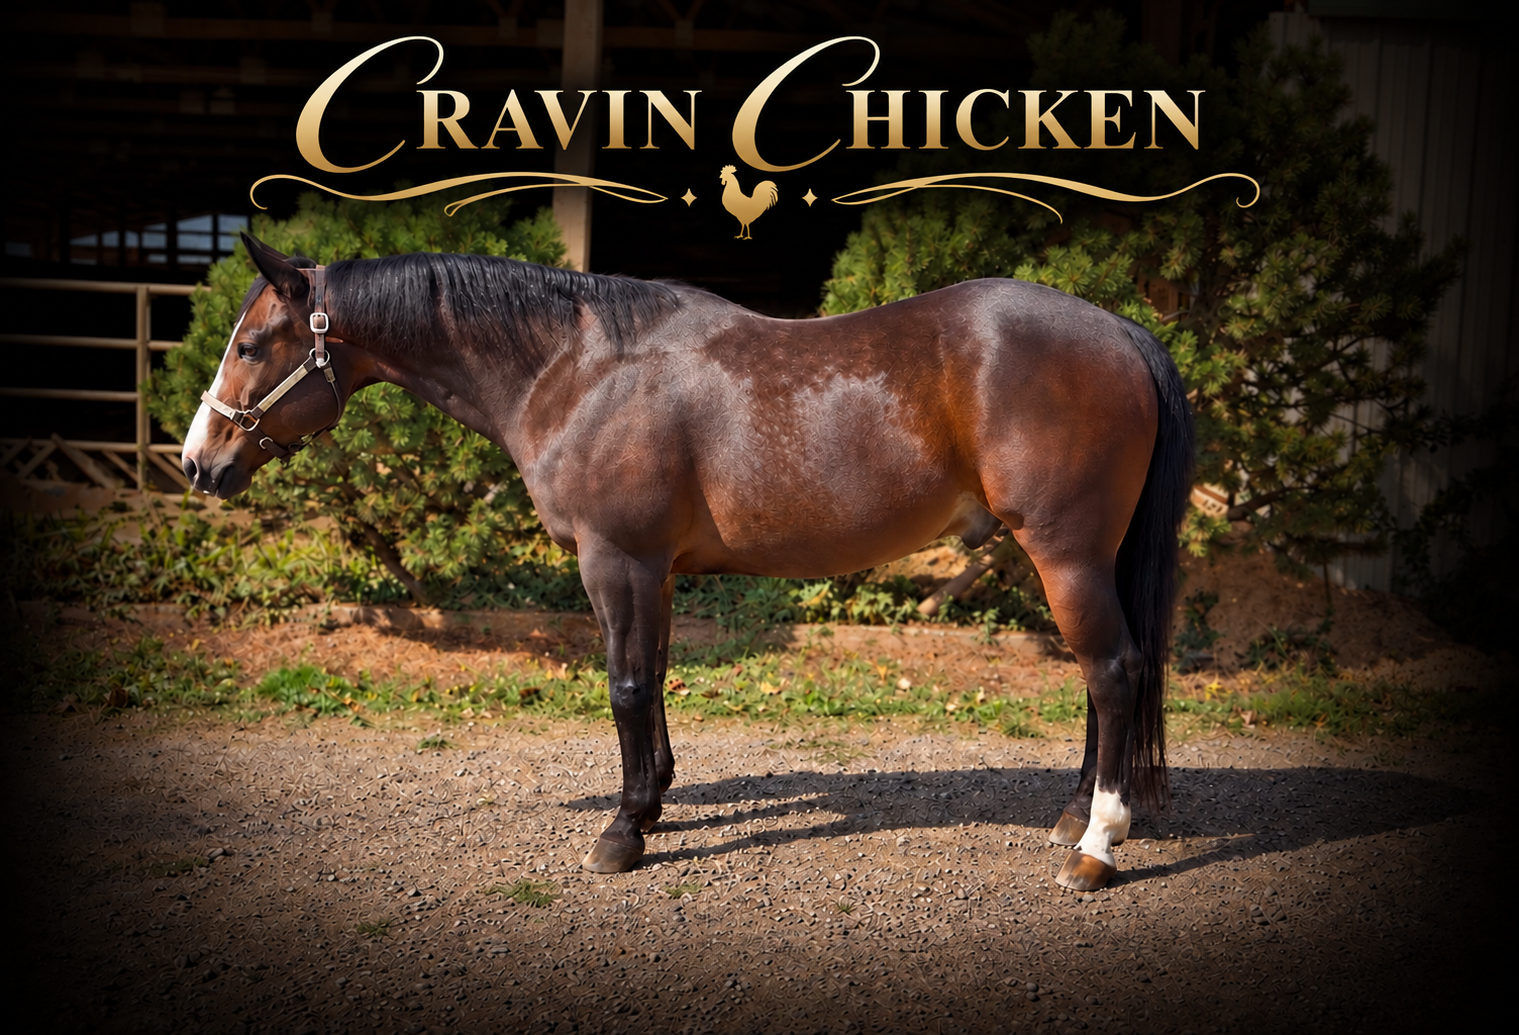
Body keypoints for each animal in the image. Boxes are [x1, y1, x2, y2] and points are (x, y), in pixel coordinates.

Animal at [182, 232, 1193, 892]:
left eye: (251, 345)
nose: (197, 462)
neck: (577, 370)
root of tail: (1121, 331)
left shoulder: (617, 561)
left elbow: (627, 688)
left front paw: (621, 832)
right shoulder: (653, 571)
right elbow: (657, 682)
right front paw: (654, 801)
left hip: (1064, 552)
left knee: (1113, 670)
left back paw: (1096, 846)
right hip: (1077, 557)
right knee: (1105, 678)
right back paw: (1073, 814)